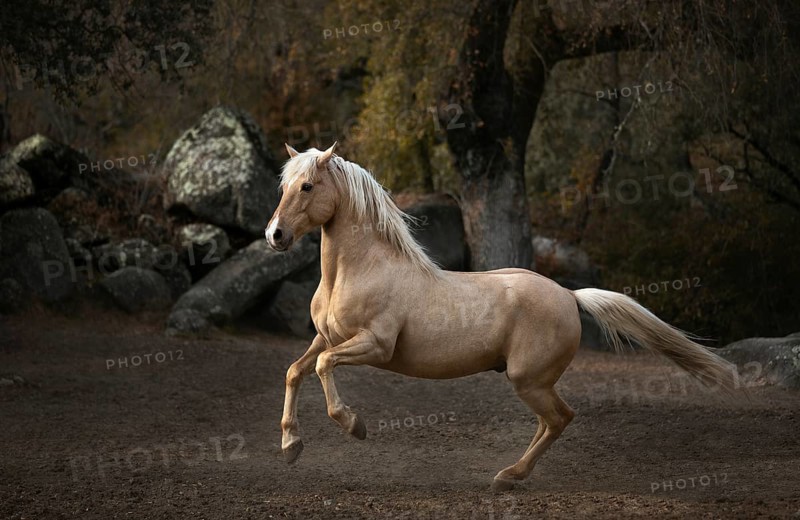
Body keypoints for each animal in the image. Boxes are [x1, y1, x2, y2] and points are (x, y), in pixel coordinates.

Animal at [266, 142, 738, 491]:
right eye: (283, 186)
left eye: (307, 186)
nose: (275, 236)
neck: (358, 270)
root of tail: (569, 295)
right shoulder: (326, 338)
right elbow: (294, 370)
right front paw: (291, 445)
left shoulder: (375, 346)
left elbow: (323, 368)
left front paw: (354, 425)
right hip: (531, 381)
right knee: (550, 423)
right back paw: (509, 475)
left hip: (528, 379)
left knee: (560, 419)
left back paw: (509, 477)